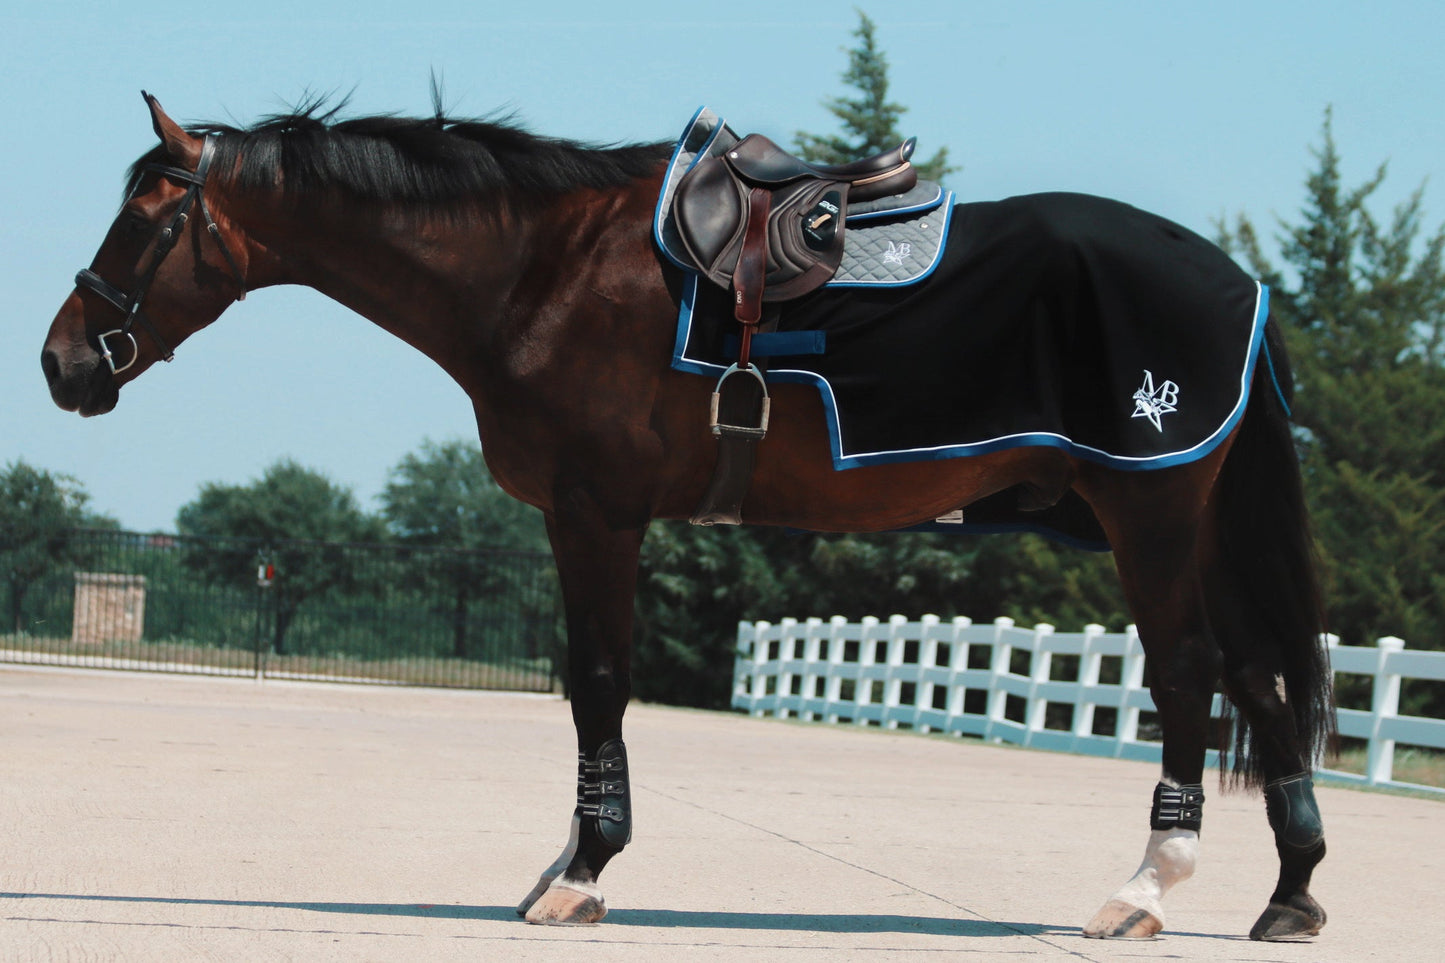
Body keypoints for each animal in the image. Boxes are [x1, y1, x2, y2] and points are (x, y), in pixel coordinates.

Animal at [41, 93, 1335, 942]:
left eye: (142, 219)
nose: (63, 363)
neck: (543, 269)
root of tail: (1238, 285)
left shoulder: (596, 513)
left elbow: (599, 682)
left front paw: (581, 874)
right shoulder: (581, 519)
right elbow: (590, 683)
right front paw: (566, 861)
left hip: (1147, 509)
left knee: (1187, 674)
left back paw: (1146, 888)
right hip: (1185, 519)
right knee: (1257, 679)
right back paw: (1289, 893)